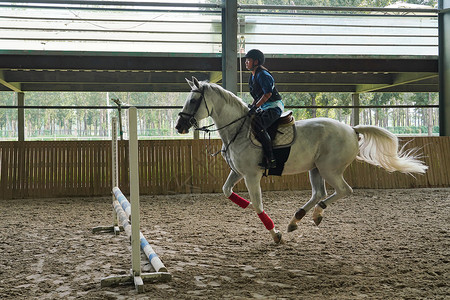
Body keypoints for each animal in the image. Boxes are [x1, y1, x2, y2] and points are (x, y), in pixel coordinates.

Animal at [174, 77, 428, 244]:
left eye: (194, 100)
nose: (179, 126)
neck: (239, 129)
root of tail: (352, 129)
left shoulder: (251, 175)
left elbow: (258, 204)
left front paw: (275, 234)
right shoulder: (238, 172)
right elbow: (227, 190)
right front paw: (244, 205)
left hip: (329, 169)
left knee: (343, 191)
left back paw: (316, 214)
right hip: (315, 169)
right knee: (319, 193)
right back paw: (296, 219)